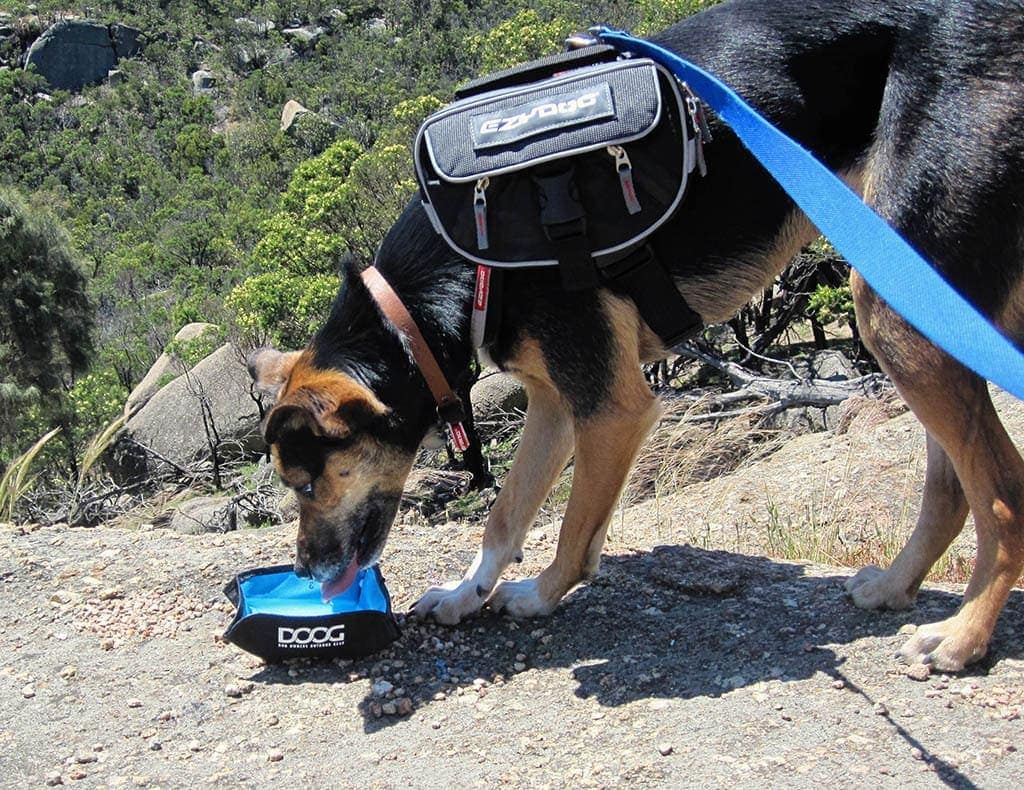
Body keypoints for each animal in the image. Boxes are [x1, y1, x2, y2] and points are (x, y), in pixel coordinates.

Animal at [247, 0, 1024, 672]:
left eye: (308, 482)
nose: (303, 571)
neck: (457, 262)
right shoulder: (556, 403)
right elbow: (506, 514)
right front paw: (468, 594)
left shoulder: (611, 408)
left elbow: (570, 527)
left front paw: (542, 594)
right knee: (952, 485)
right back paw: (896, 587)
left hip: (895, 306)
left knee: (1001, 494)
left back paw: (963, 637)